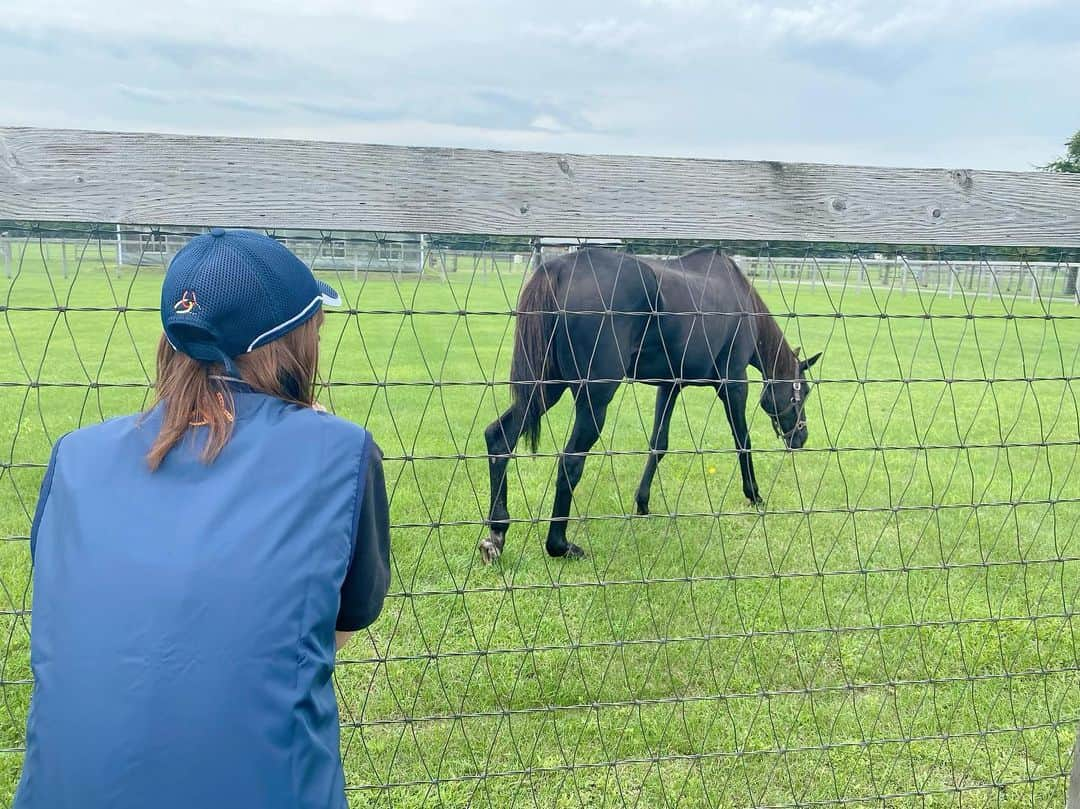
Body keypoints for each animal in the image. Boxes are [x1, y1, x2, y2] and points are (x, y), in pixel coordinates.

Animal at [481, 247, 816, 561]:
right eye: (803, 392)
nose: (801, 437)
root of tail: (559, 268)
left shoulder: (669, 387)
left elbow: (659, 444)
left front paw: (643, 502)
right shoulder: (733, 384)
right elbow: (742, 441)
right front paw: (754, 495)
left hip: (545, 390)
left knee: (500, 438)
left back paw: (497, 532)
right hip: (593, 402)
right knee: (570, 462)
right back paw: (559, 545)